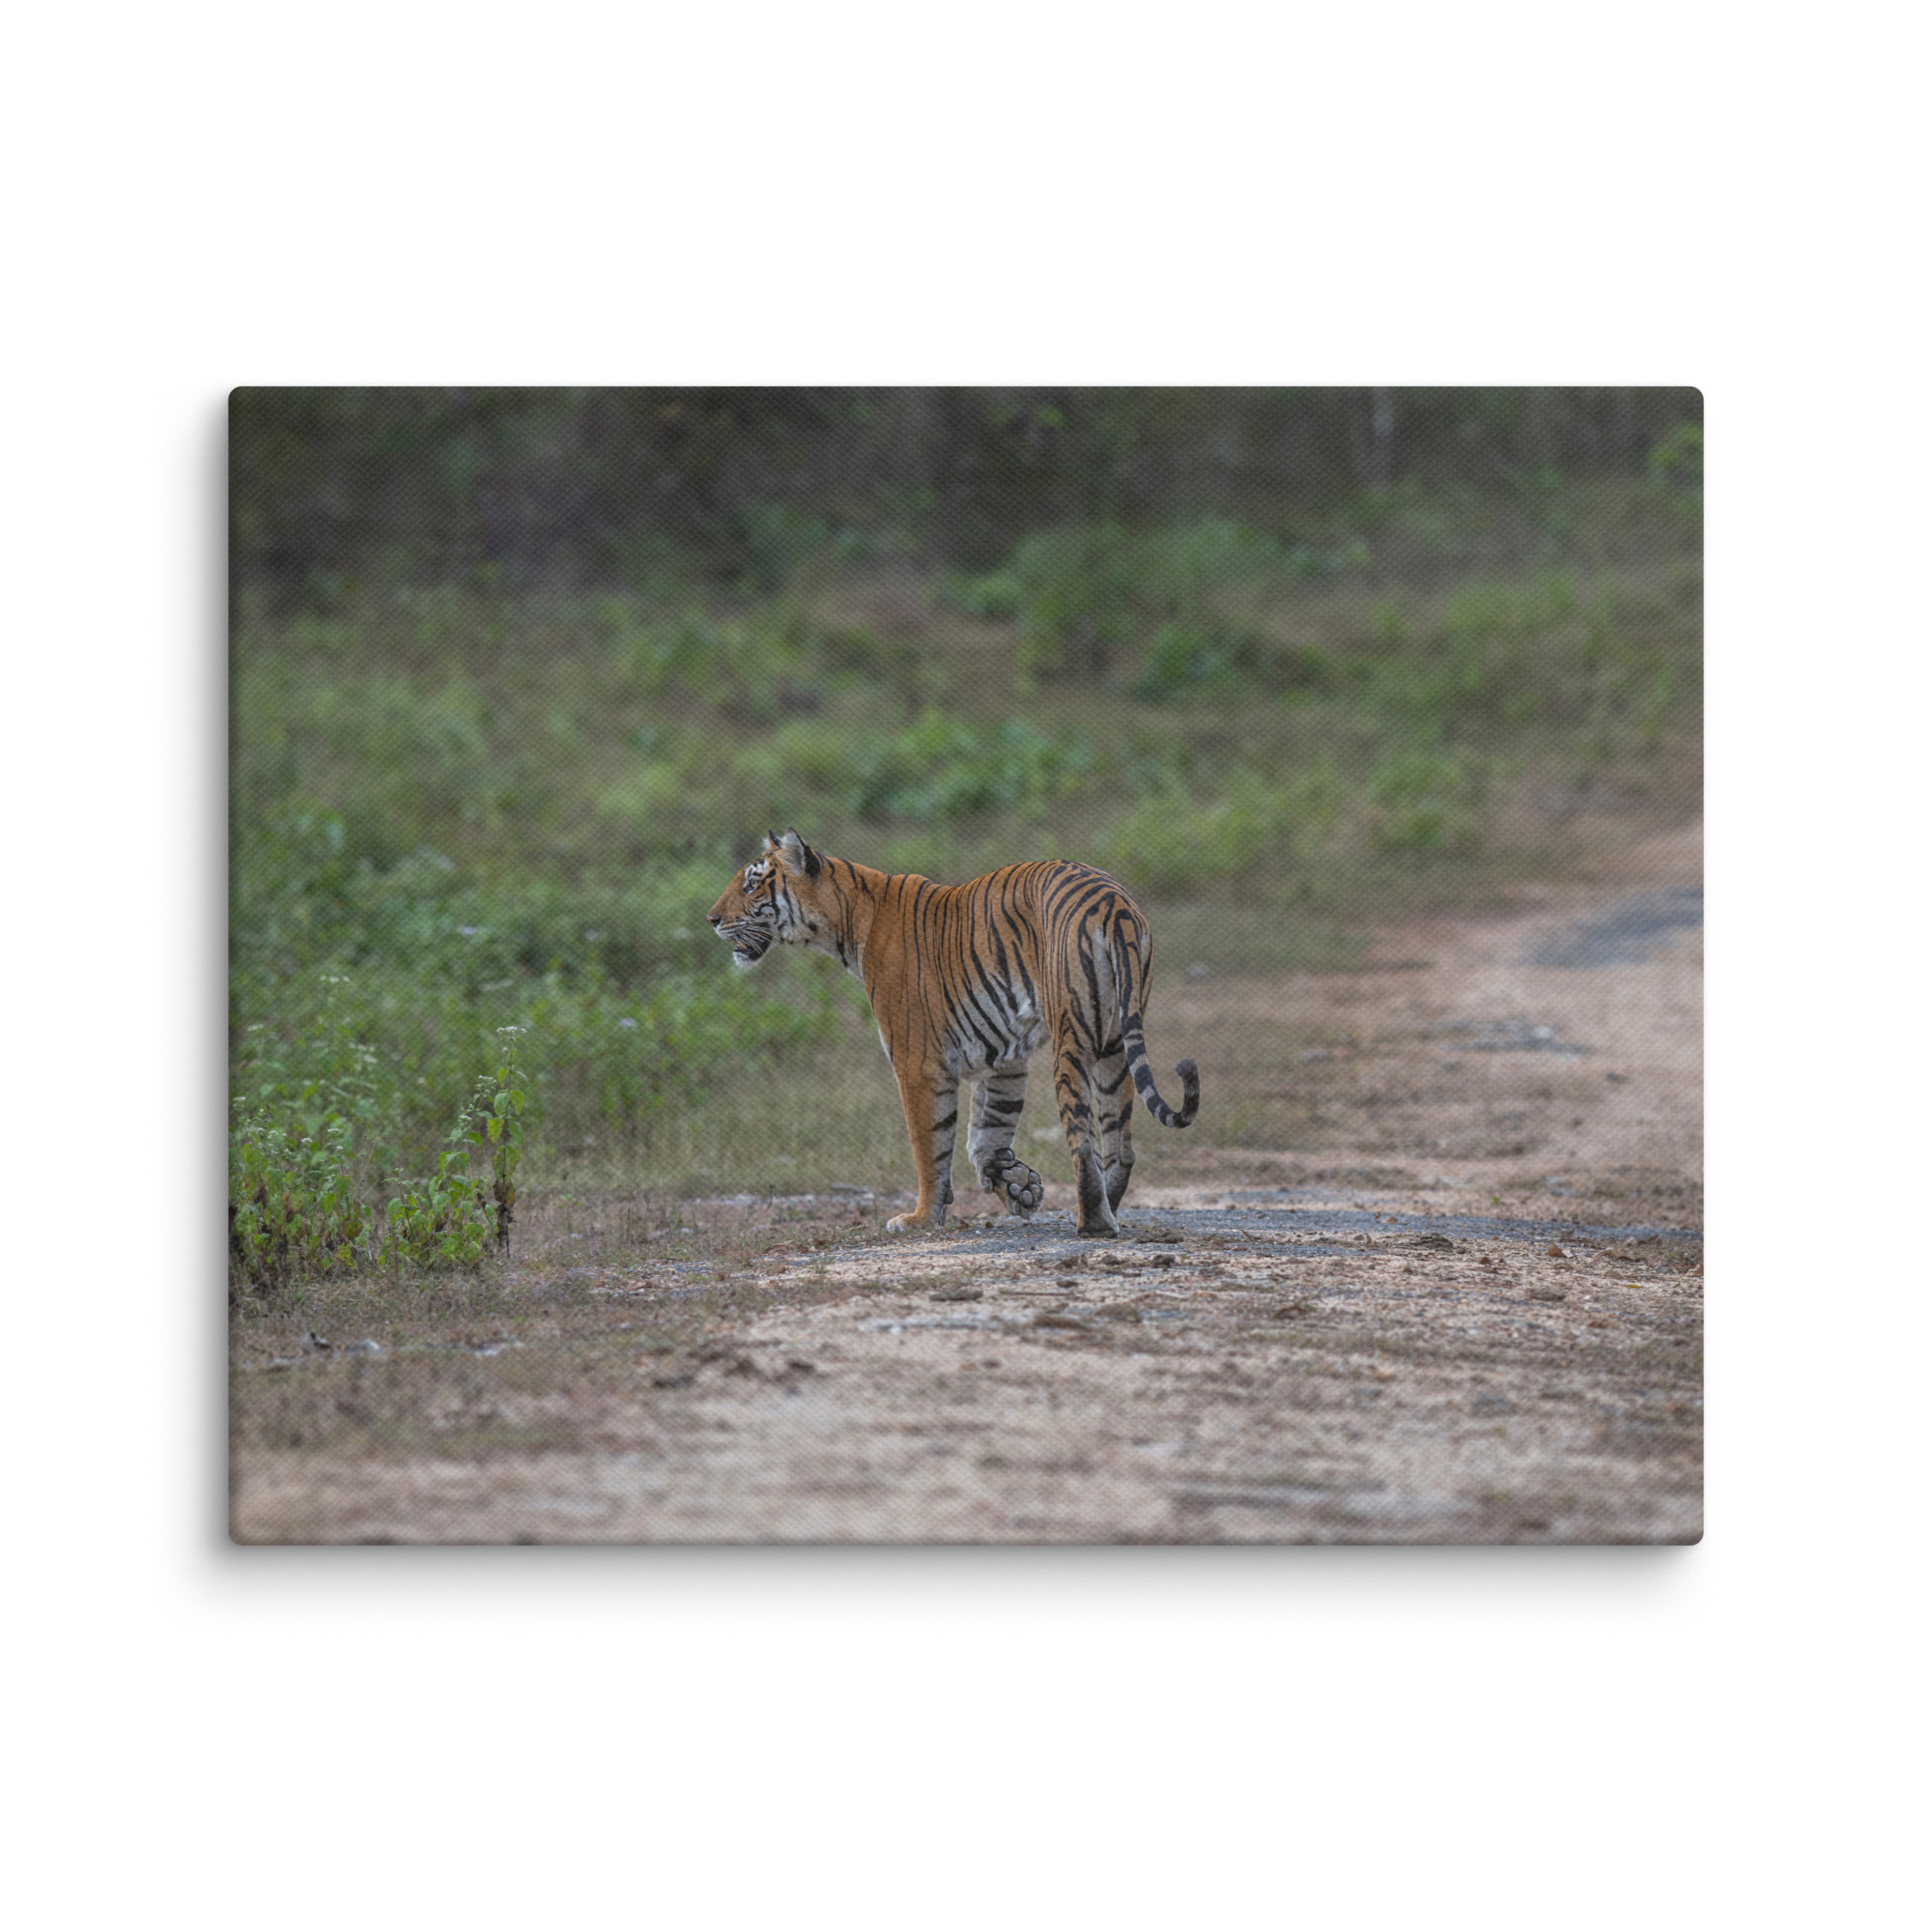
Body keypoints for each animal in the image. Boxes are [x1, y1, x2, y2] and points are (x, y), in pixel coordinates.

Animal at [707, 829, 1199, 1238]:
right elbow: (987, 1131)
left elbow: (930, 1144)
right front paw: (1016, 1185)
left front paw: (922, 1217)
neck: (846, 921)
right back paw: (1107, 1209)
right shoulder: (1004, 1057)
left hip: (1072, 1037)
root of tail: (1113, 903)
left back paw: (1092, 1223)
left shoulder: (917, 1062)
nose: (711, 919)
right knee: (1120, 1145)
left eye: (752, 884)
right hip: (1115, 1043)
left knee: (1082, 1140)